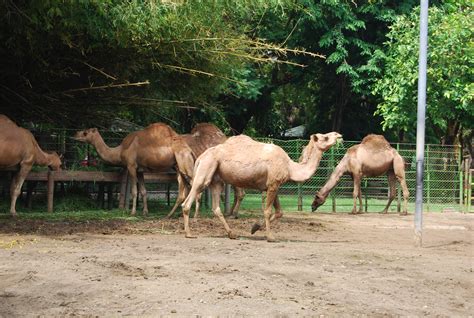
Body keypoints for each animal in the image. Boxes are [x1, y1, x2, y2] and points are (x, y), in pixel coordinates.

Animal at [181, 132, 340, 241]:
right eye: (325, 137)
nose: (338, 134)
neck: (290, 167)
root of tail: (201, 157)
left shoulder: (273, 186)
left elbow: (279, 212)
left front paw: (254, 228)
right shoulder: (273, 184)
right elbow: (268, 211)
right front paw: (270, 237)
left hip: (216, 180)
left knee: (215, 207)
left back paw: (232, 234)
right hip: (206, 170)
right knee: (188, 201)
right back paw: (189, 233)